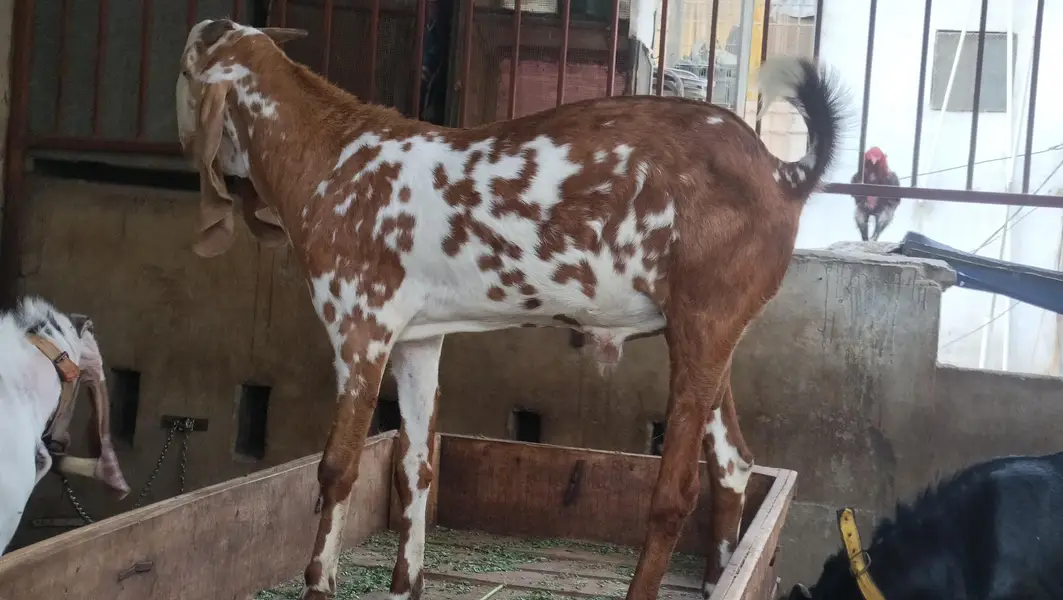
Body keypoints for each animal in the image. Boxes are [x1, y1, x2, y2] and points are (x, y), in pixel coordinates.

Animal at [175, 19, 843, 600]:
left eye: (183, 71)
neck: (330, 155)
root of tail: (785, 173)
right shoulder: (417, 339)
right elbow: (413, 465)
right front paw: (405, 585)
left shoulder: (360, 327)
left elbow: (337, 469)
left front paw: (319, 583)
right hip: (708, 331)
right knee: (733, 464)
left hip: (706, 321)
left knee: (676, 492)